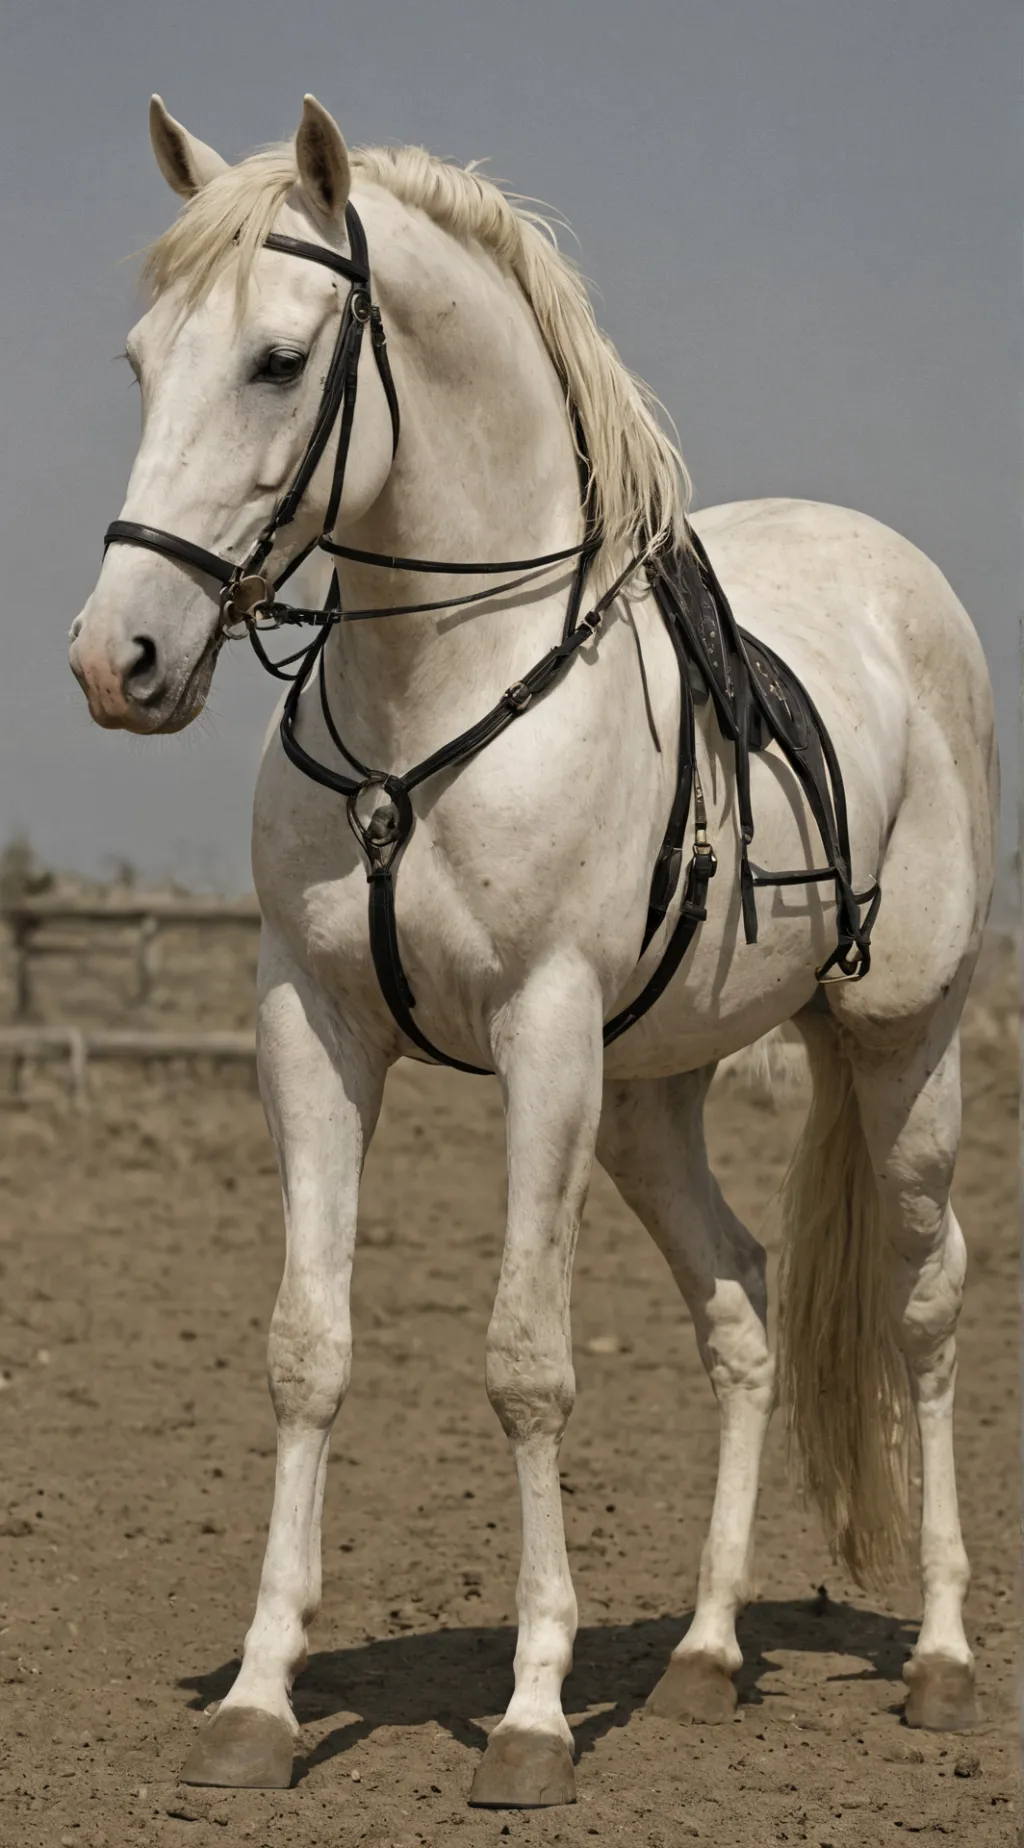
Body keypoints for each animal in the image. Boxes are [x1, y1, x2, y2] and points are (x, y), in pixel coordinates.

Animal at [68, 94, 997, 1807]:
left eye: (279, 362)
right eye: (142, 360)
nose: (120, 659)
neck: (431, 700)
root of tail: (897, 574)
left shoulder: (543, 1038)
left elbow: (525, 1362)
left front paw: (533, 1713)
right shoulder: (312, 1028)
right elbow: (306, 1346)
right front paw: (259, 1699)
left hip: (905, 1052)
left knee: (923, 1301)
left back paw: (946, 1660)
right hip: (650, 1101)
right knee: (742, 1307)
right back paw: (702, 1655)